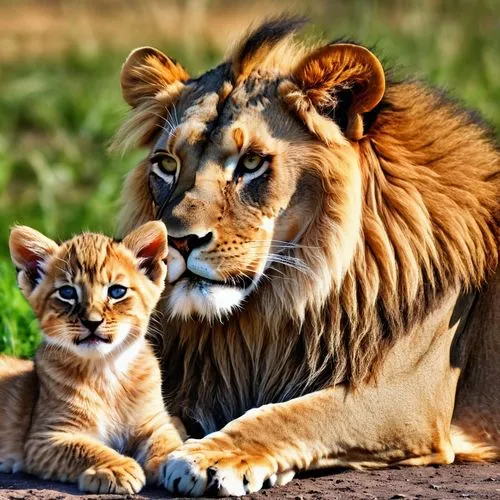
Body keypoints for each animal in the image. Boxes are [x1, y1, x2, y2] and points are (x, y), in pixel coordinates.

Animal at [114, 17, 500, 498]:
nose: (180, 242)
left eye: (252, 163)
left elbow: (292, 414)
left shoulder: (406, 397)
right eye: (166, 165)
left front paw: (209, 457)